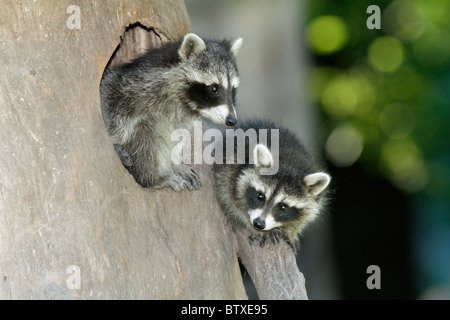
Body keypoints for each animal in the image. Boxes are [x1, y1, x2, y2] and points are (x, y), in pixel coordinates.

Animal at [100, 33, 244, 190]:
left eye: (233, 90)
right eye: (214, 88)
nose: (232, 120)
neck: (184, 105)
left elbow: (174, 136)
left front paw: (173, 164)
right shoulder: (131, 89)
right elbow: (110, 100)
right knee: (146, 138)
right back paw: (152, 178)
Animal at [211, 119, 330, 248]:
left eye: (283, 207)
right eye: (260, 196)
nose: (258, 223)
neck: (288, 160)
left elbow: (304, 218)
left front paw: (290, 232)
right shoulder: (229, 172)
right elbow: (230, 203)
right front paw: (248, 222)